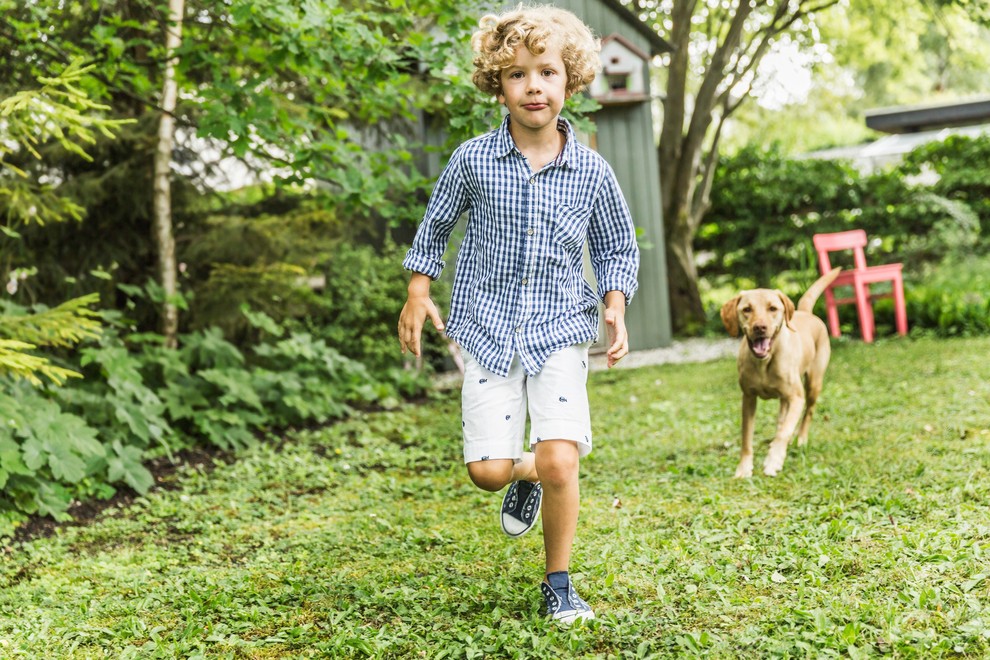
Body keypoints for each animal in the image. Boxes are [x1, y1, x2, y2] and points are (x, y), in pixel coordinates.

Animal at [720, 268, 844, 480]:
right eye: (747, 309)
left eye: (772, 308)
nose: (760, 327)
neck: (764, 362)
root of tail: (806, 312)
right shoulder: (748, 398)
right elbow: (747, 437)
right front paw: (744, 468)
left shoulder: (796, 398)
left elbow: (785, 432)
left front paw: (773, 460)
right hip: (784, 399)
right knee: (782, 419)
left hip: (813, 384)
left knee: (807, 413)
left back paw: (800, 440)